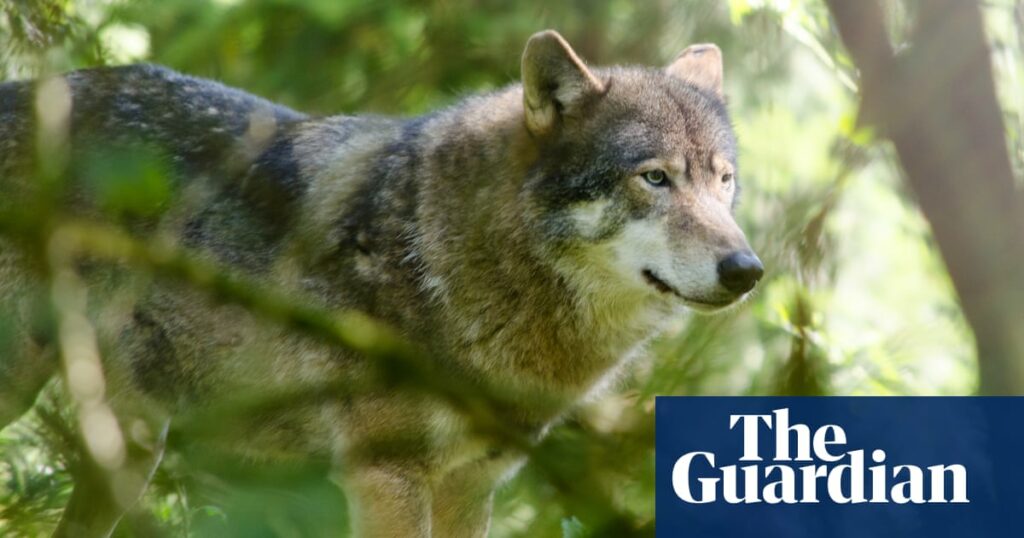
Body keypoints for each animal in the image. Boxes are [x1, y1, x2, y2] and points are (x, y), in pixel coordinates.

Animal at [0, 31, 765, 532]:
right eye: (654, 178)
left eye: (724, 180)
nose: (747, 270)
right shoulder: (387, 477)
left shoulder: (472, 485)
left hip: (128, 452)